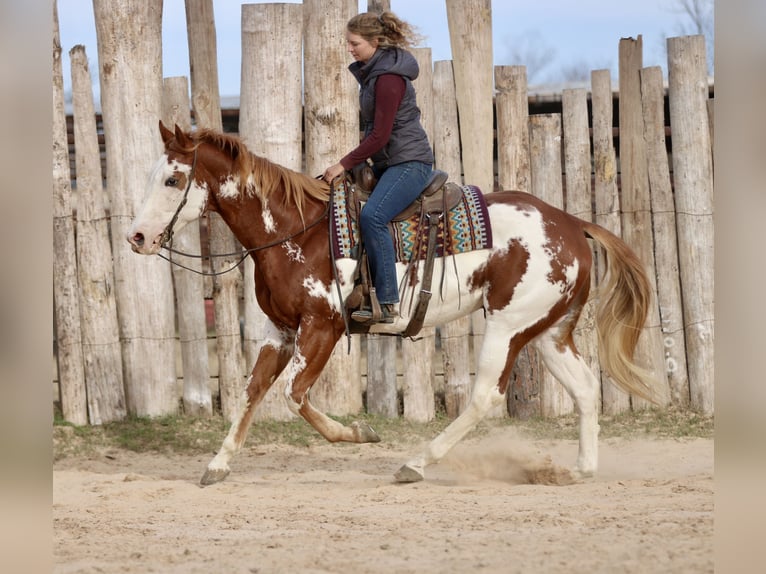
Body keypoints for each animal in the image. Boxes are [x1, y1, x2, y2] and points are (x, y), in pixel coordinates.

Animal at [128, 122, 659, 486]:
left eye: (172, 180)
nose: (136, 237)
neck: (294, 231)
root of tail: (572, 224)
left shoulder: (321, 329)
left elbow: (292, 395)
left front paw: (359, 434)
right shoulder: (278, 331)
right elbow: (252, 390)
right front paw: (218, 463)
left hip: (508, 327)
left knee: (485, 396)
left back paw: (416, 463)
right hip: (549, 331)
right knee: (585, 388)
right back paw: (580, 470)